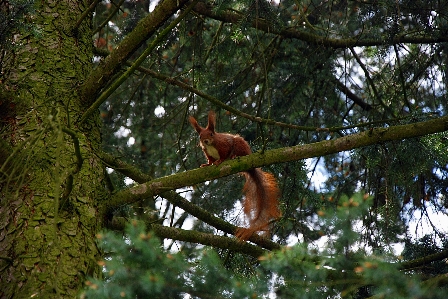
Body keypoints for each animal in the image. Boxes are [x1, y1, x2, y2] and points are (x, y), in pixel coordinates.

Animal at [189, 111, 280, 240]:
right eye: (200, 136)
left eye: (211, 134)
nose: (205, 141)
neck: (211, 145)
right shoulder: (207, 151)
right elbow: (210, 160)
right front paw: (207, 164)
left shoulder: (223, 145)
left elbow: (223, 154)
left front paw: (220, 160)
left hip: (240, 145)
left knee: (238, 152)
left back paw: (234, 156)